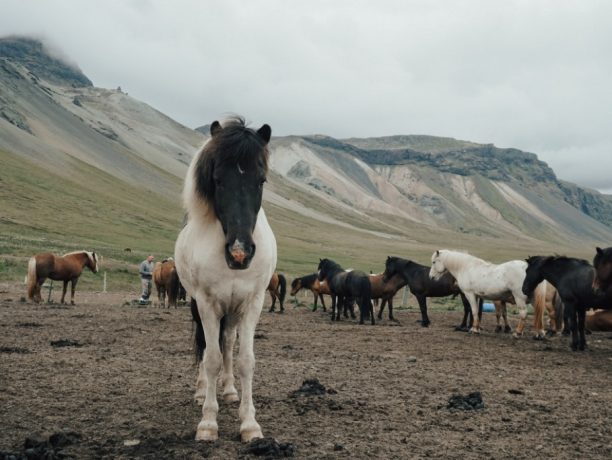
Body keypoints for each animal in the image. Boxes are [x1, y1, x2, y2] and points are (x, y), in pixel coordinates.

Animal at [173, 117, 276, 444]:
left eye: (261, 181)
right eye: (217, 180)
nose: (240, 252)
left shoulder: (253, 302)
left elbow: (245, 360)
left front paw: (249, 423)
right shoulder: (206, 303)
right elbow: (211, 358)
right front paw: (208, 422)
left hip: (233, 310)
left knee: (228, 341)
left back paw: (229, 390)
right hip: (200, 305)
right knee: (206, 345)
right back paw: (201, 391)